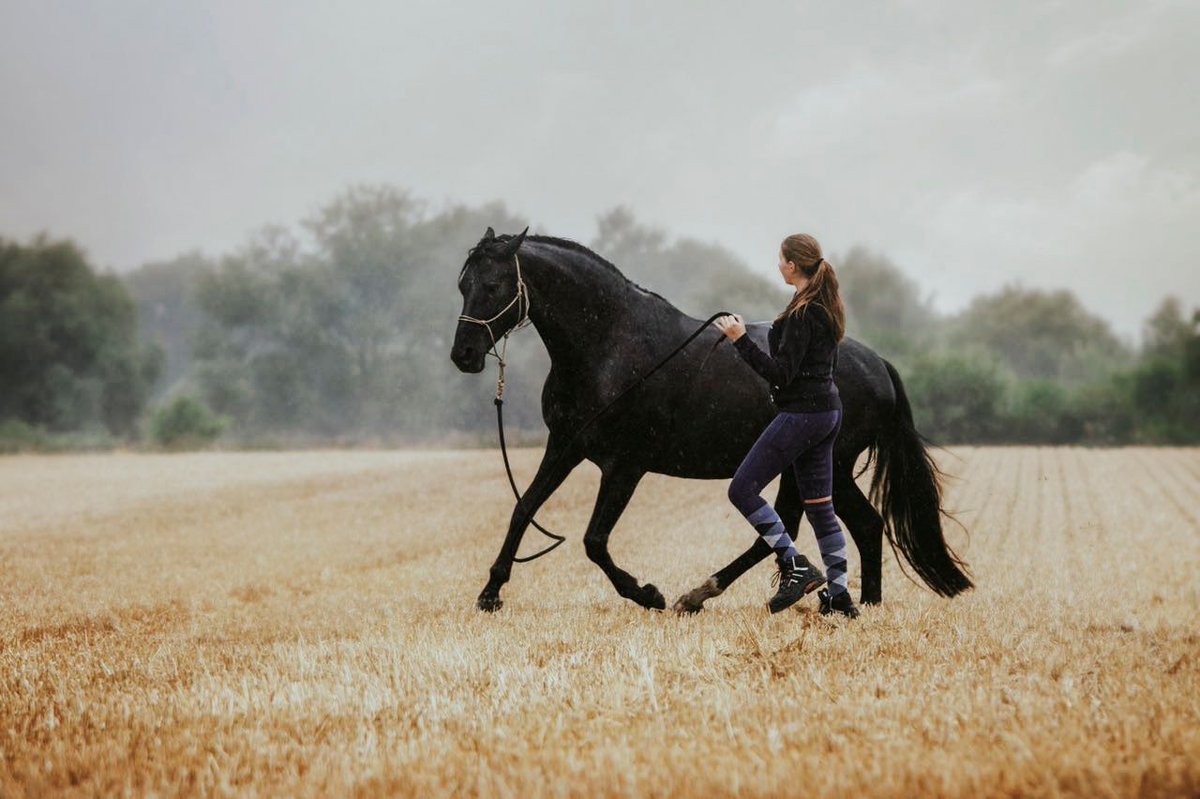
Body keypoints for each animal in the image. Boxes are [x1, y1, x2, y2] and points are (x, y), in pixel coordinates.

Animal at [450, 226, 972, 613]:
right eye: (463, 285)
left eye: (493, 286)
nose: (464, 355)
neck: (611, 346)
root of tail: (877, 363)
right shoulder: (566, 446)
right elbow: (524, 508)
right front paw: (490, 594)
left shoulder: (624, 465)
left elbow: (594, 540)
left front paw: (647, 594)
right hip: (811, 466)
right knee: (853, 524)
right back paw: (853, 601)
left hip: (820, 463)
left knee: (818, 525)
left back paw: (711, 594)